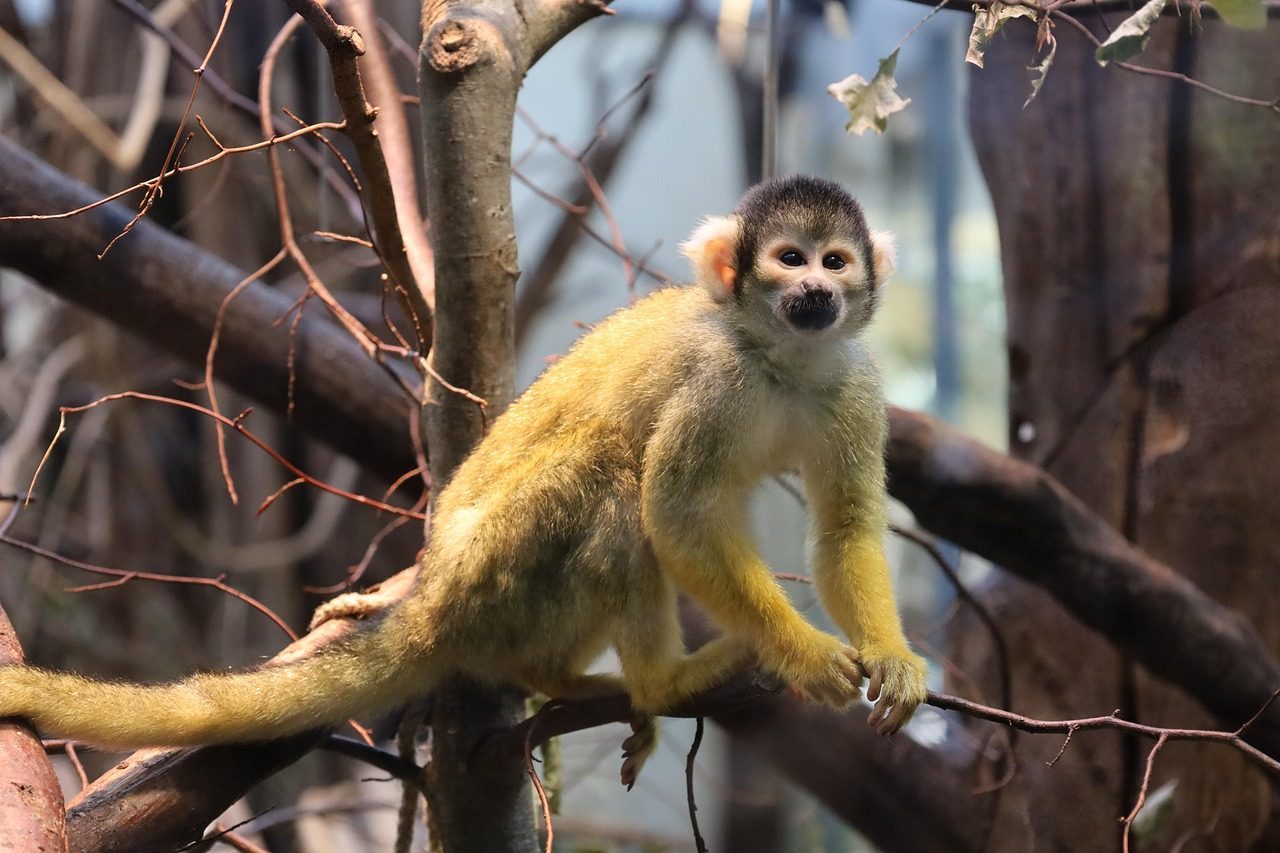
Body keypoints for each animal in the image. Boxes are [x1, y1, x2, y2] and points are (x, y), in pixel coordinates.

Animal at [0, 175, 926, 787]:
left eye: (836, 261)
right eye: (789, 258)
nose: (816, 289)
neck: (780, 357)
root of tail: (437, 594)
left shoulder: (852, 382)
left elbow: (845, 523)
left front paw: (894, 657)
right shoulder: (716, 378)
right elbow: (676, 513)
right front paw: (803, 653)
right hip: (501, 573)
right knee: (613, 468)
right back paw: (664, 682)